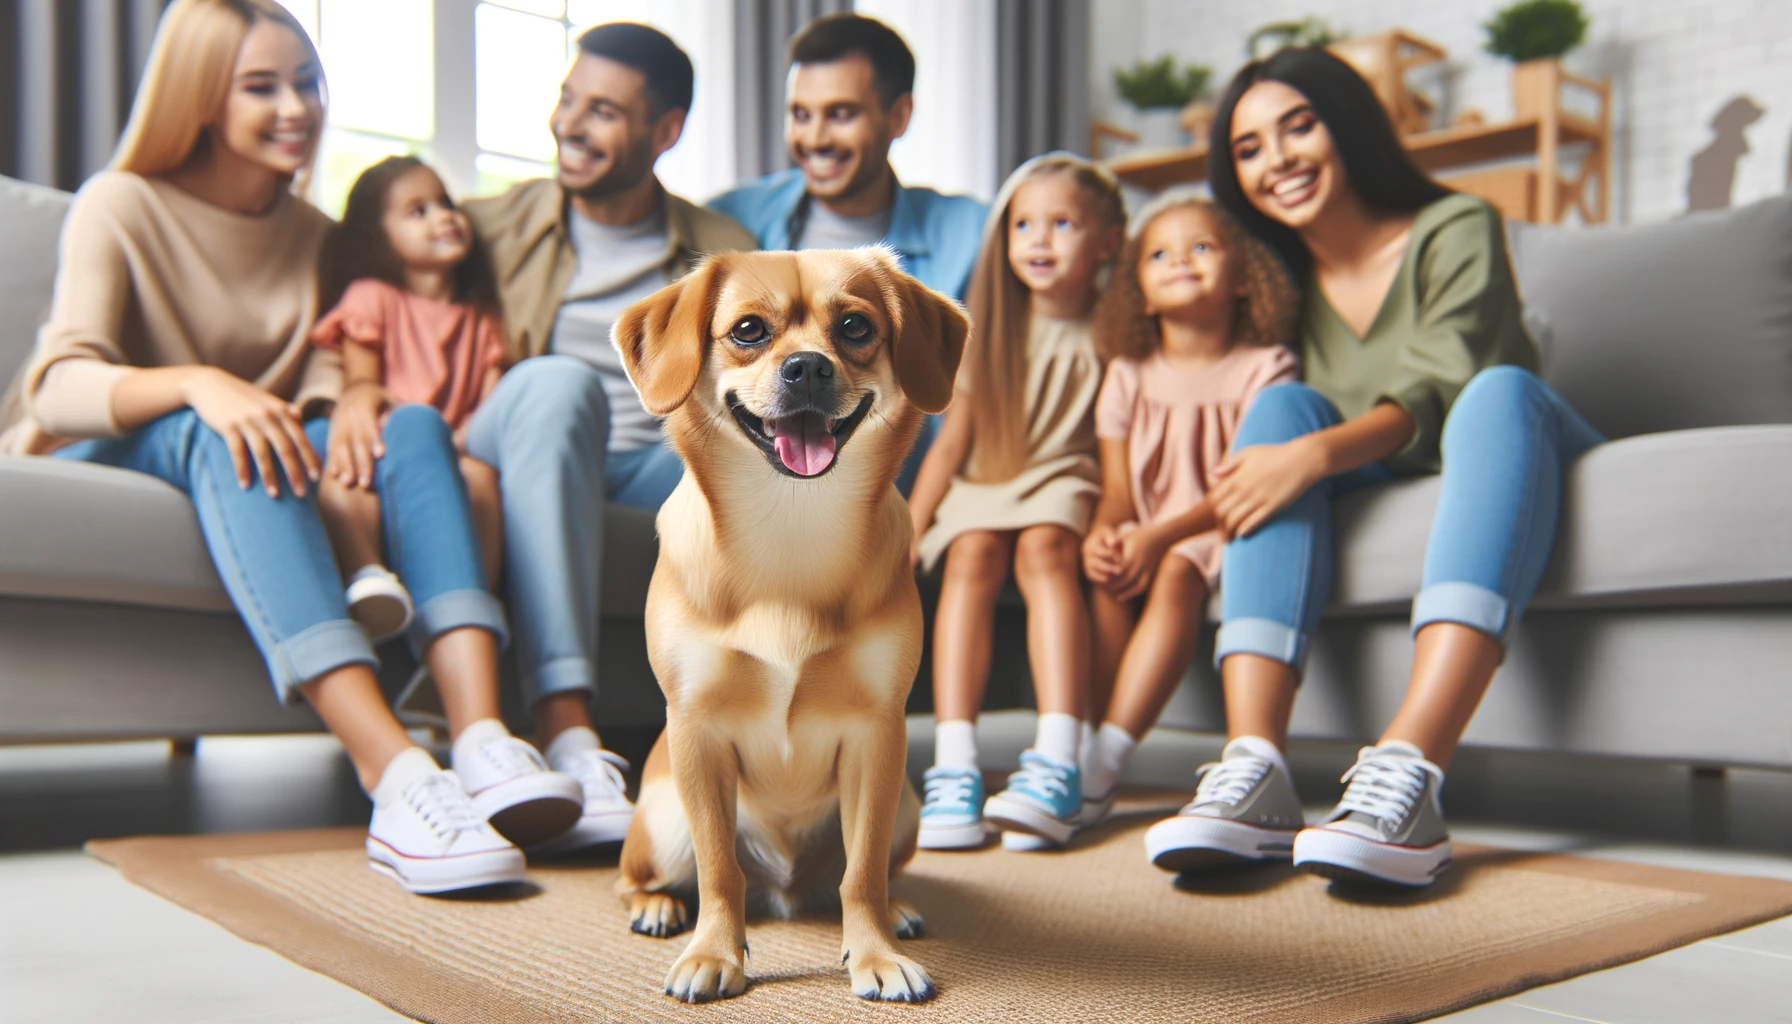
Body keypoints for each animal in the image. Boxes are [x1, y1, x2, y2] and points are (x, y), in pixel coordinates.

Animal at [609, 245, 967, 1004]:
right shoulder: (697, 732)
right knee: (646, 876)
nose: (807, 366)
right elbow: (719, 870)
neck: (791, 527)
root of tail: (787, 892)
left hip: (906, 804)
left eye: (856, 327)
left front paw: (875, 953)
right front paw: (714, 953)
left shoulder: (877, 737)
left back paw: (895, 910)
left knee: (853, 879)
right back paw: (658, 906)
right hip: (663, 816)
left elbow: (862, 871)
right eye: (748, 330)